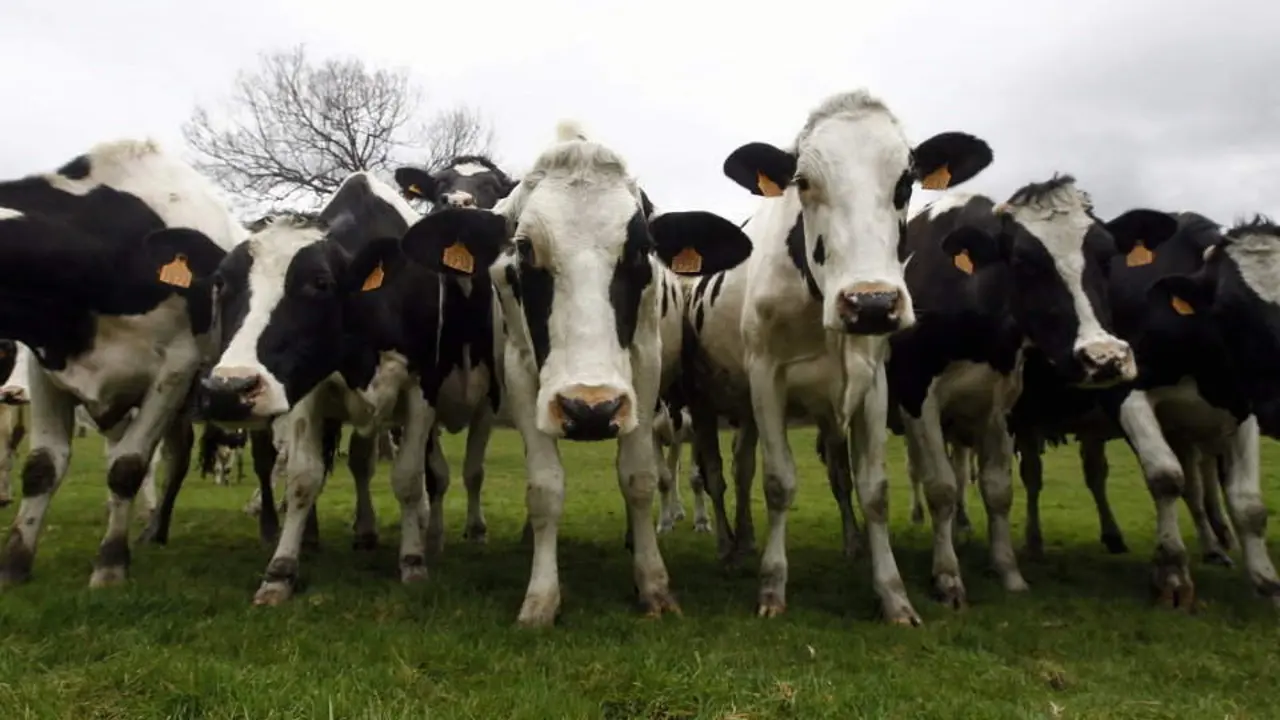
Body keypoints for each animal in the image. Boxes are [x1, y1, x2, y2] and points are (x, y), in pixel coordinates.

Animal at [0, 139, 246, 589]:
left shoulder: (175, 369)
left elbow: (127, 467)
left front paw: (110, 564)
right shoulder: (48, 368)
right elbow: (42, 466)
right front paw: (15, 564)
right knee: (176, 455)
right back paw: (154, 529)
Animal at [397, 119, 754, 626]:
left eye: (642, 248)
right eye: (524, 248)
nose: (590, 409)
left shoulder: (644, 371)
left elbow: (639, 478)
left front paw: (653, 583)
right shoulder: (522, 377)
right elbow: (544, 486)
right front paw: (541, 597)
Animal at [679, 89, 993, 623]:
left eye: (905, 182)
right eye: (803, 182)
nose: (871, 303)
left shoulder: (872, 385)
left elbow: (872, 489)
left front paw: (893, 593)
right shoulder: (766, 378)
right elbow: (779, 483)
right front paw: (772, 586)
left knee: (744, 471)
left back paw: (750, 542)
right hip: (705, 401)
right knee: (717, 475)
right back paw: (727, 549)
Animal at [886, 176, 1178, 606]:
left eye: (1106, 258)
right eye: (1024, 262)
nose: (1104, 357)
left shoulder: (1000, 409)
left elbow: (998, 490)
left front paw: (1008, 571)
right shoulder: (917, 398)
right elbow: (940, 487)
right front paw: (947, 577)